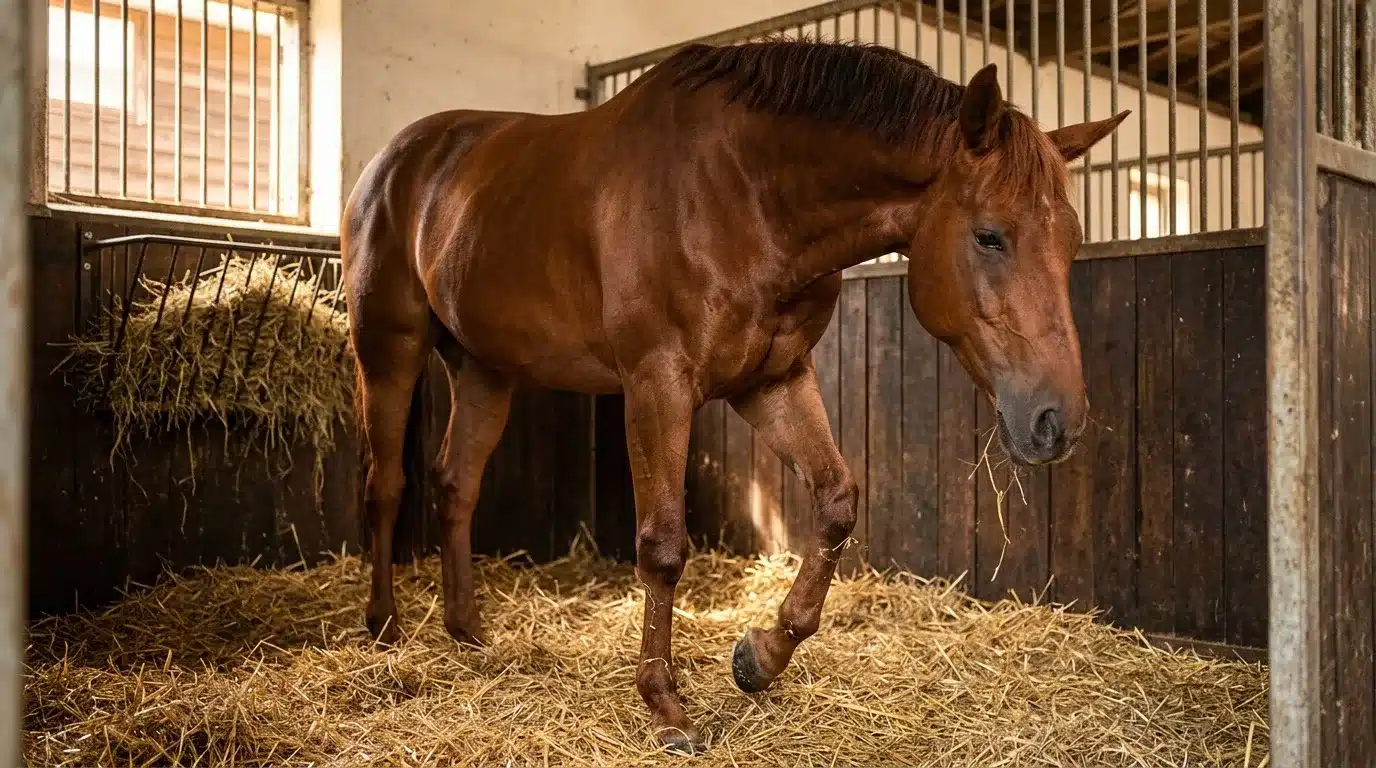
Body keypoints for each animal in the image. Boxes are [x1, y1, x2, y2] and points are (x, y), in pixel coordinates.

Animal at [340, 38, 1128, 754]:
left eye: (1071, 244)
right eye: (990, 237)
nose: (1057, 423)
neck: (742, 194)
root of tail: (391, 163)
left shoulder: (772, 381)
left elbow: (837, 502)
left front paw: (760, 656)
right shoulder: (657, 384)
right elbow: (662, 546)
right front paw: (665, 705)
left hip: (484, 369)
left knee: (455, 485)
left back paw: (468, 632)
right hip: (388, 349)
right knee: (386, 483)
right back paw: (384, 627)